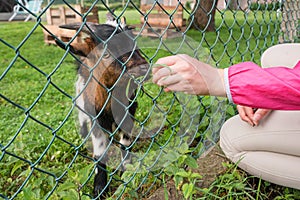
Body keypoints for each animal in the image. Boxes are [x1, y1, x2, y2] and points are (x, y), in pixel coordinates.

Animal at [55, 14, 149, 198]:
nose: (144, 68)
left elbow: (125, 142)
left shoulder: (129, 112)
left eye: (133, 42)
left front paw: (126, 168)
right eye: (105, 54)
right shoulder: (96, 119)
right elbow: (99, 152)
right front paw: (99, 188)